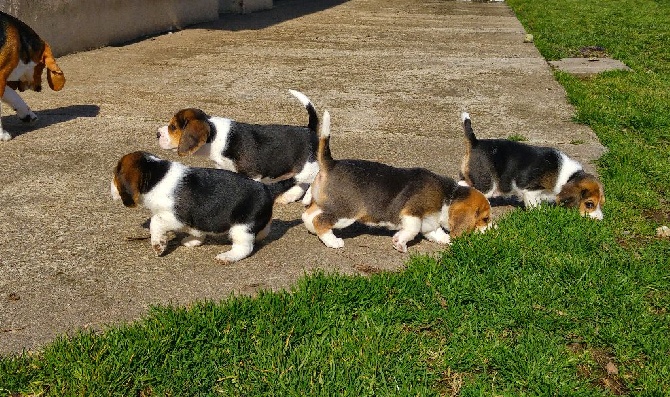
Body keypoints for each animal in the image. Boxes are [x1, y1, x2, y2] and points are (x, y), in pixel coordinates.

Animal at [111, 152, 294, 262]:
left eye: (115, 175)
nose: (109, 188)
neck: (156, 176)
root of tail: (267, 188)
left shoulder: (175, 217)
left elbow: (155, 222)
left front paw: (158, 245)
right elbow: (197, 231)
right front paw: (193, 241)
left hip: (241, 227)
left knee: (245, 247)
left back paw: (227, 257)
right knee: (264, 230)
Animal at [160, 88, 322, 203]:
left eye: (173, 127)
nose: (157, 134)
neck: (216, 136)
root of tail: (309, 129)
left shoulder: (252, 175)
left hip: (310, 165)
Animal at [304, 110, 494, 252]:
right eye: (485, 219)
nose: (495, 232)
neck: (448, 196)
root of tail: (331, 163)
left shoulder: (430, 224)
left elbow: (438, 233)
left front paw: (448, 240)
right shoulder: (412, 214)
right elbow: (412, 229)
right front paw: (400, 243)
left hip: (326, 204)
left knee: (309, 214)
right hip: (346, 213)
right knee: (319, 220)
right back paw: (333, 241)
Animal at [460, 111, 608, 220]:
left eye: (601, 204)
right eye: (589, 204)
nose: (600, 220)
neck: (568, 176)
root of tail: (475, 143)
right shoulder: (531, 190)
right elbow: (534, 206)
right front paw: (539, 215)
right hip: (487, 185)